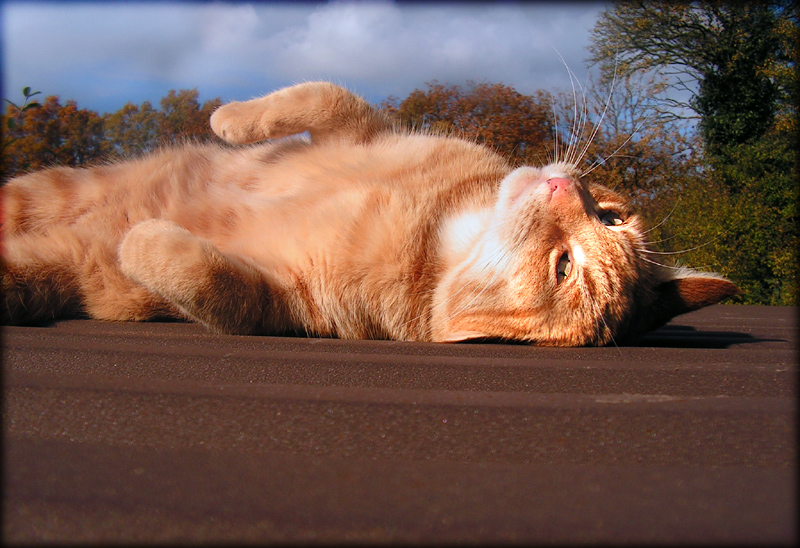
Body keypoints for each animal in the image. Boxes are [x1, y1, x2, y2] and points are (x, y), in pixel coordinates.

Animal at [0, 81, 736, 344]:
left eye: (563, 267)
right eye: (610, 217)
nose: (566, 190)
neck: (442, 229)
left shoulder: (280, 302)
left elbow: (200, 279)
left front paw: (143, 239)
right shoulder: (363, 130)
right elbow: (323, 94)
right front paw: (230, 120)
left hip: (38, 268)